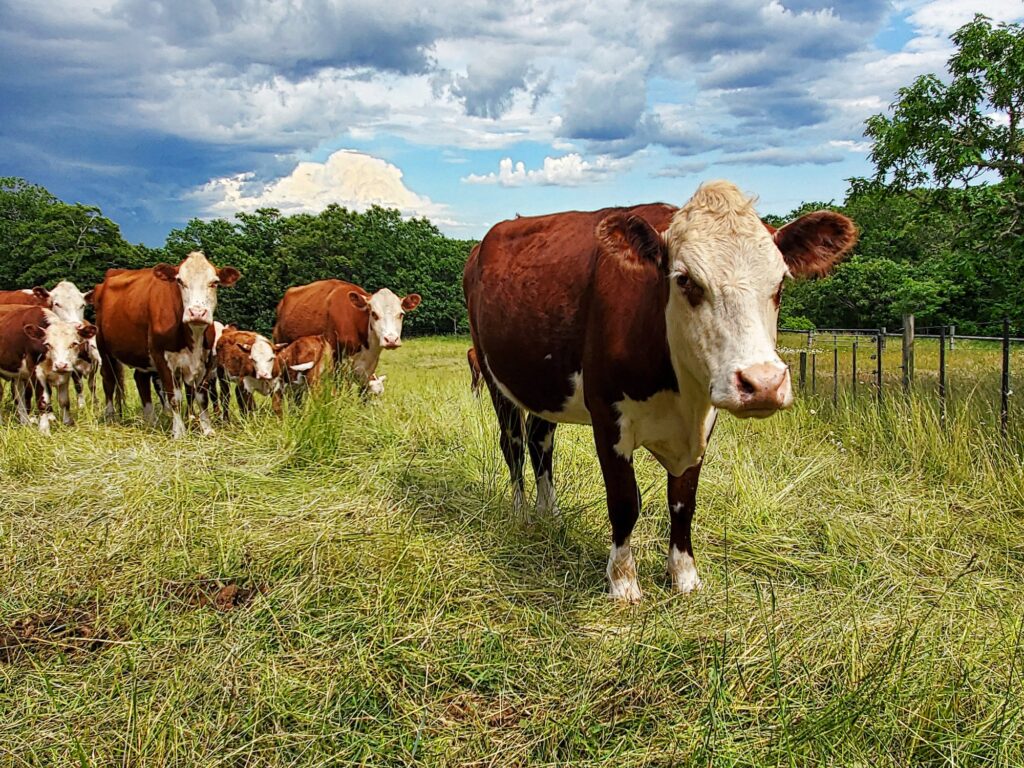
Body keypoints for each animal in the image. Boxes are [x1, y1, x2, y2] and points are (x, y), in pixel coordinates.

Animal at [0, 307, 96, 436]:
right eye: (48, 344)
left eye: (74, 343)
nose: (61, 365)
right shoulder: (37, 373)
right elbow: (43, 401)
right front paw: (44, 430)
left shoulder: (66, 373)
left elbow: (64, 400)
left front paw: (67, 423)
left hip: (18, 375)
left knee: (18, 396)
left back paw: (25, 422)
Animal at [93, 249, 240, 436]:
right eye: (180, 281)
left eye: (214, 282)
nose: (197, 312)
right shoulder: (161, 357)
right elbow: (174, 398)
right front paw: (179, 432)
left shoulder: (205, 360)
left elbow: (202, 397)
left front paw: (207, 430)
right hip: (104, 350)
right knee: (109, 381)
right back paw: (111, 417)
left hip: (141, 355)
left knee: (140, 379)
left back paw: (151, 421)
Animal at [464, 183, 856, 606]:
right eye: (685, 280)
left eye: (780, 282)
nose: (763, 383)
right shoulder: (608, 417)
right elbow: (624, 501)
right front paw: (623, 582)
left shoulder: (701, 424)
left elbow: (683, 502)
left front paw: (684, 576)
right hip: (493, 375)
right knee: (514, 444)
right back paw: (520, 515)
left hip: (546, 385)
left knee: (541, 442)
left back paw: (549, 514)